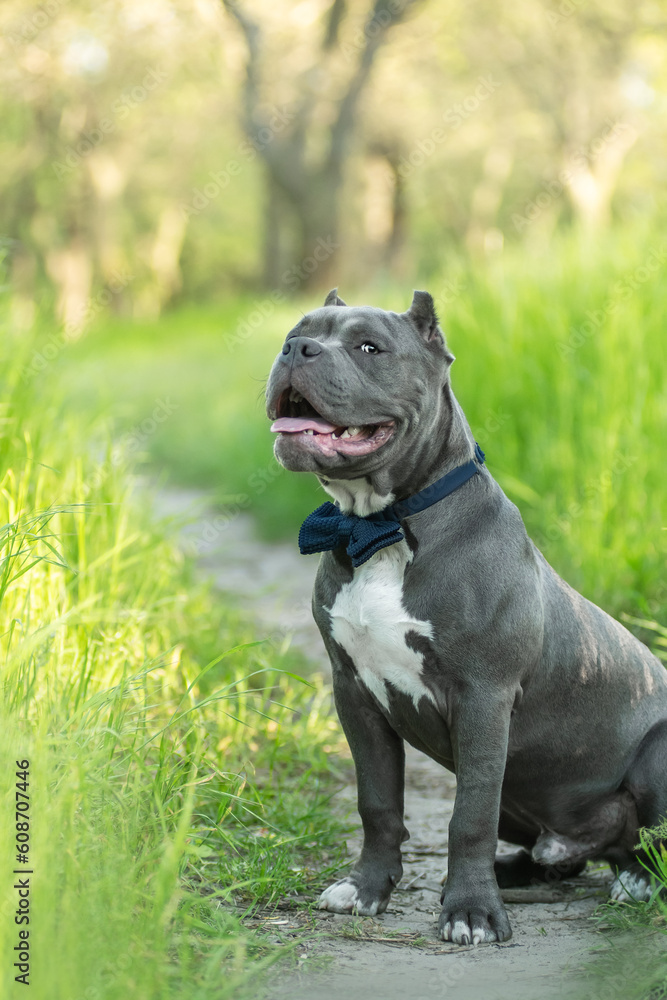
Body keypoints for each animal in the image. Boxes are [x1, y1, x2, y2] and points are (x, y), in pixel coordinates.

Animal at [266, 290, 667, 944]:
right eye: (295, 334)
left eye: (369, 347)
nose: (296, 350)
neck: (384, 527)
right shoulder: (355, 693)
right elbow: (378, 803)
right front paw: (366, 889)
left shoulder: (484, 698)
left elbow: (468, 815)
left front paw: (471, 912)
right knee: (568, 857)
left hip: (656, 753)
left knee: (646, 845)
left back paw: (637, 882)